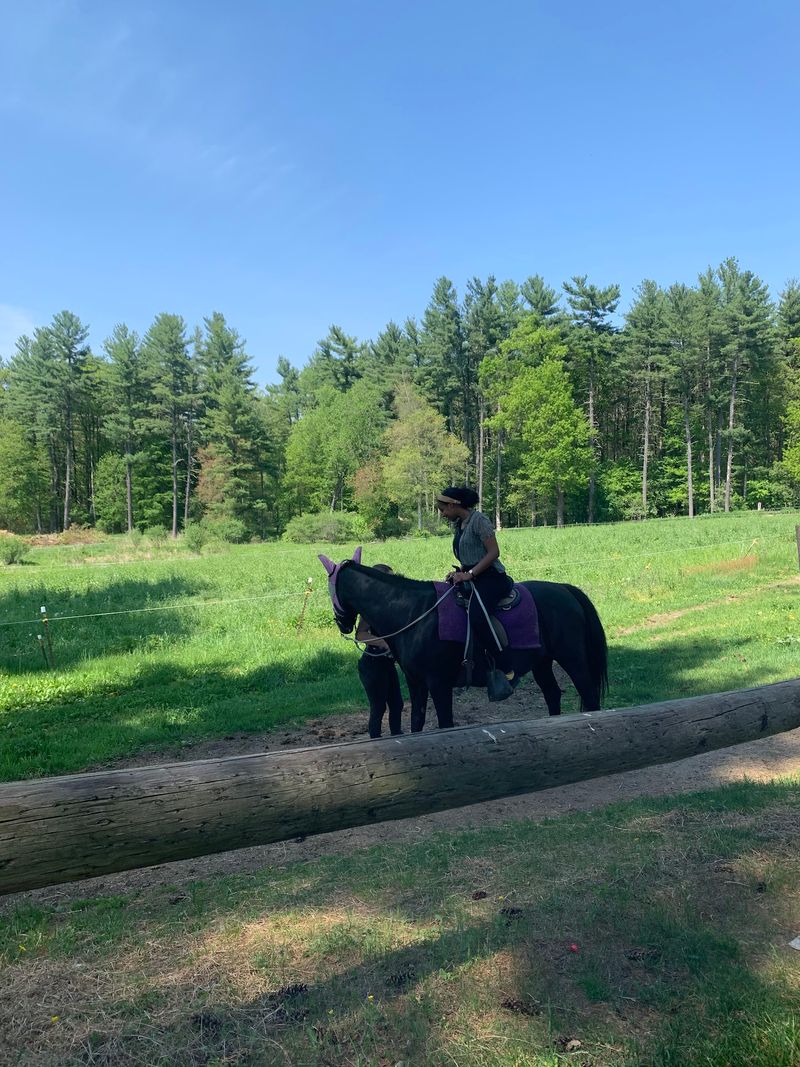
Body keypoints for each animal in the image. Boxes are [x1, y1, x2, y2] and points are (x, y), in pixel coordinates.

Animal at [319, 550, 608, 732]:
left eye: (329, 587)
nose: (342, 622)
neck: (413, 611)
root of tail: (565, 590)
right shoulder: (416, 682)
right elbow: (416, 723)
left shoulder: (439, 683)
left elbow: (445, 723)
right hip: (542, 662)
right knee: (552, 694)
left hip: (572, 658)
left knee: (589, 696)